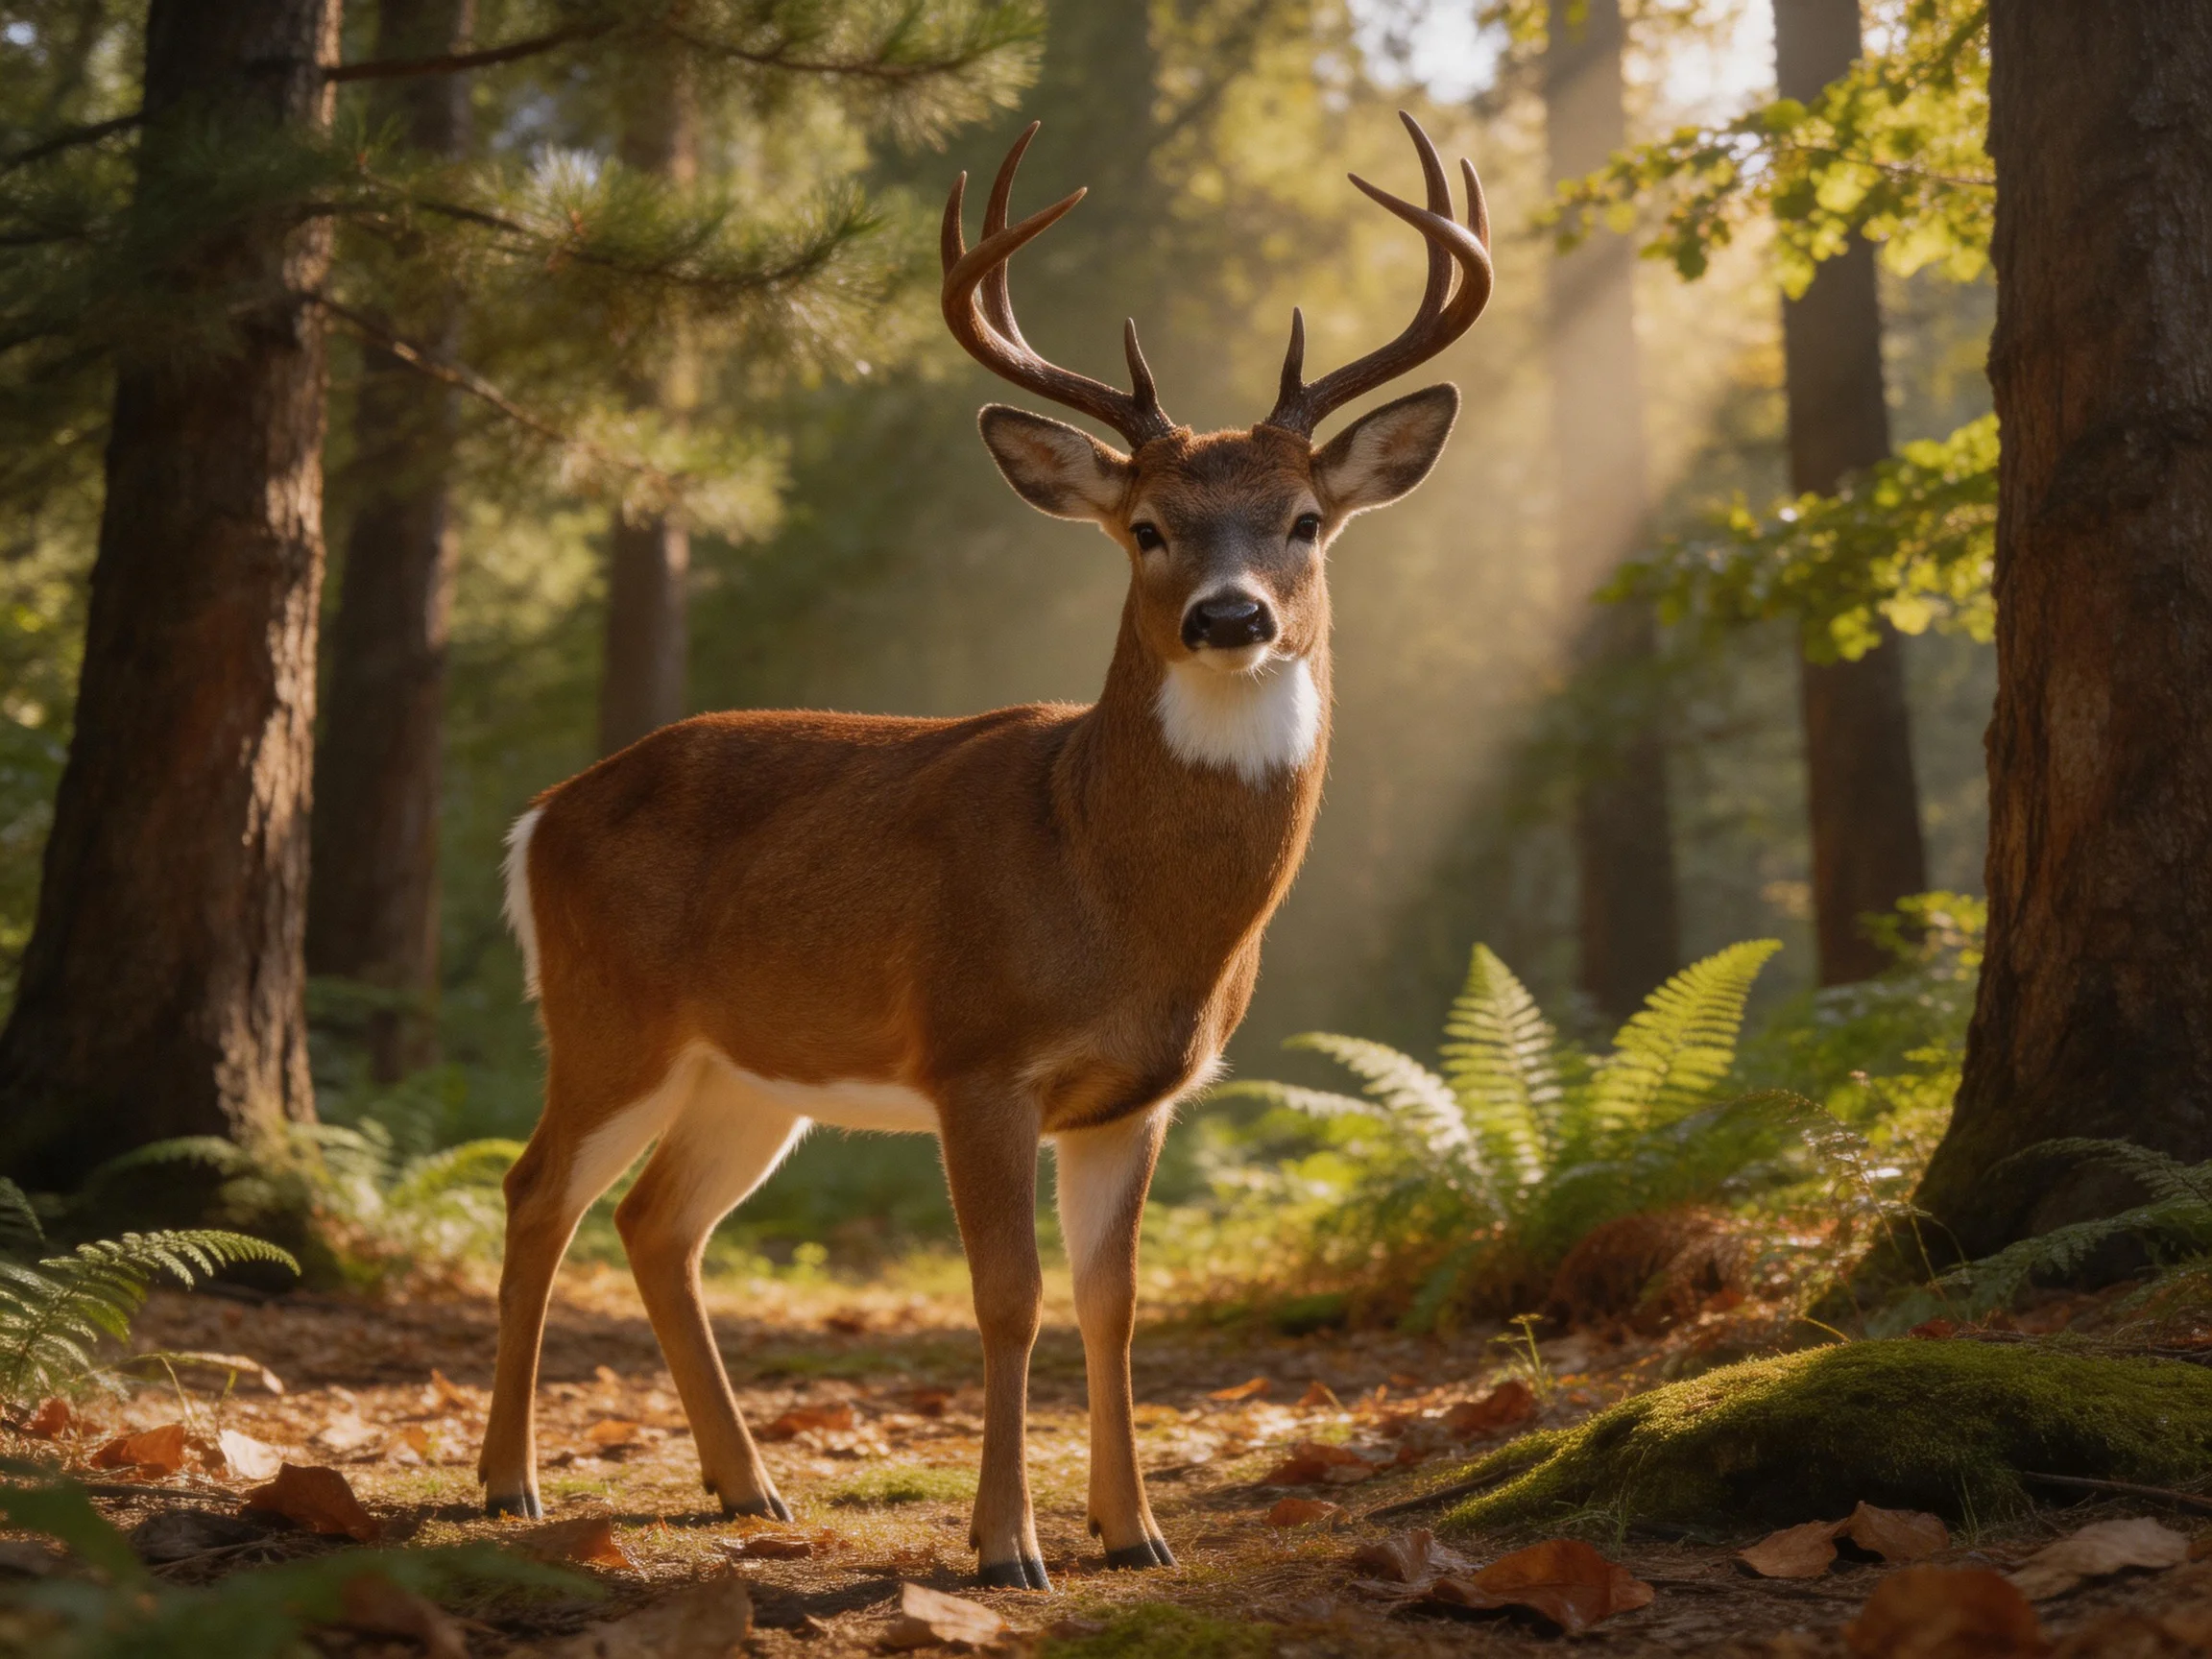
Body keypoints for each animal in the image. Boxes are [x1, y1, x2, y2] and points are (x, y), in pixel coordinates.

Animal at [478, 112, 1492, 1590]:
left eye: (1305, 522)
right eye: (1146, 528)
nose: (1230, 616)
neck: (1111, 887)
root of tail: (542, 814)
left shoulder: (1138, 1096)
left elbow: (1113, 1302)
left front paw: (1135, 1532)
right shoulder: (975, 1057)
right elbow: (1008, 1298)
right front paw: (1007, 1543)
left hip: (749, 1069)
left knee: (655, 1220)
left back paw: (748, 1486)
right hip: (608, 1013)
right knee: (536, 1190)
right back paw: (513, 1483)